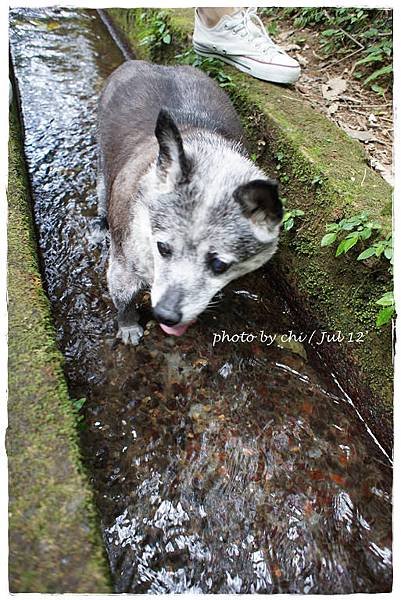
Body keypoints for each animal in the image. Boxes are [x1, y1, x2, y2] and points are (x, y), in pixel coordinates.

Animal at [97, 60, 282, 342]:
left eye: (219, 265)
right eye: (162, 248)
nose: (165, 315)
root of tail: (157, 64)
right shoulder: (123, 264)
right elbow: (124, 299)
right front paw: (128, 327)